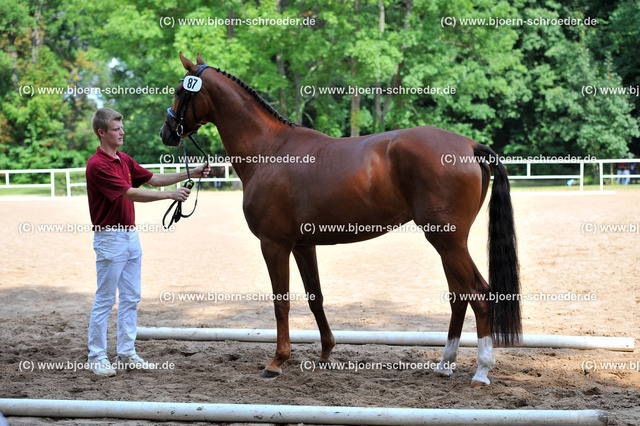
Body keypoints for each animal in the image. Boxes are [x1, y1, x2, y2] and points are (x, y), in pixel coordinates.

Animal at [160, 52, 520, 386]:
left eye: (179, 91)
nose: (167, 133)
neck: (270, 150)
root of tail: (470, 146)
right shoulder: (303, 245)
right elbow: (315, 298)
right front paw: (325, 353)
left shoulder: (274, 244)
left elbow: (281, 302)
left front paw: (277, 361)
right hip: (447, 242)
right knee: (459, 297)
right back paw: (444, 364)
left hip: (447, 240)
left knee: (480, 294)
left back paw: (481, 370)